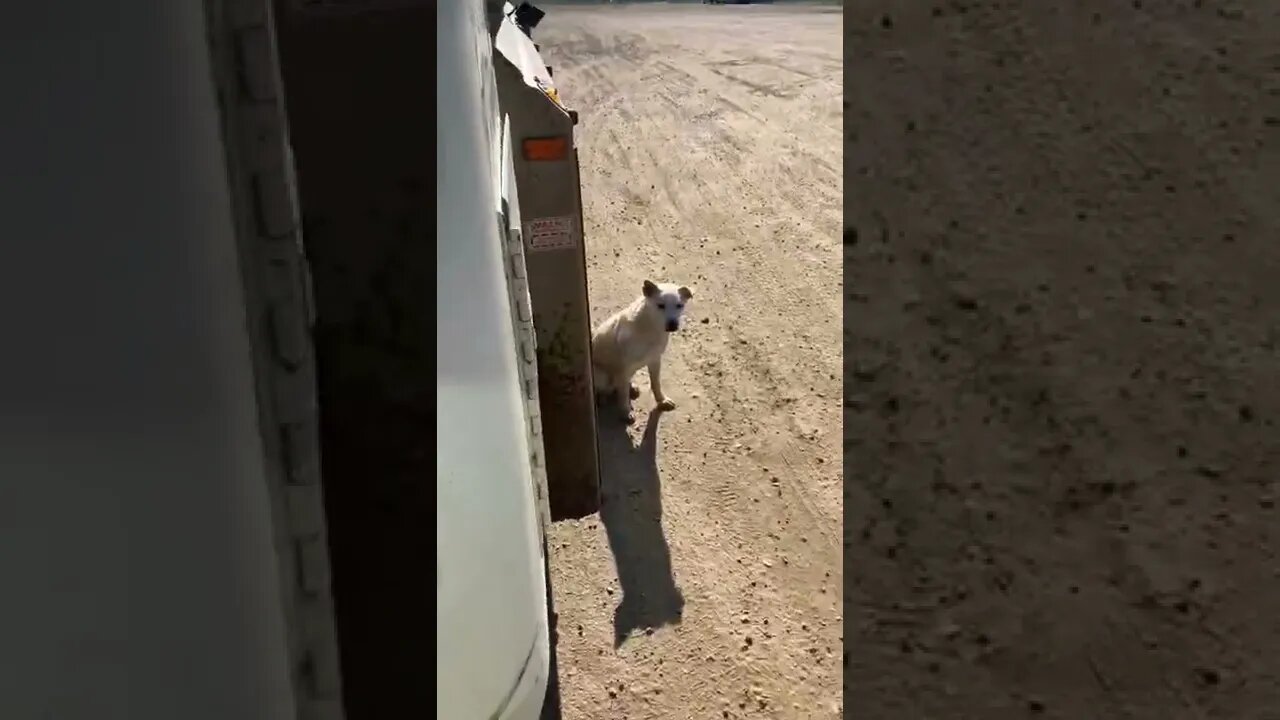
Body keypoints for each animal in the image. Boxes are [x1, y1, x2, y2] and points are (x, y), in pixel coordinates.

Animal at [586, 279, 691, 422]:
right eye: (661, 306)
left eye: (679, 305)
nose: (672, 325)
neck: (650, 327)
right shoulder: (623, 367)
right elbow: (623, 396)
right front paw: (626, 412)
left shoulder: (654, 359)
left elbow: (656, 383)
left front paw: (661, 400)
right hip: (602, 375)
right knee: (605, 389)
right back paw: (602, 398)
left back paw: (631, 387)